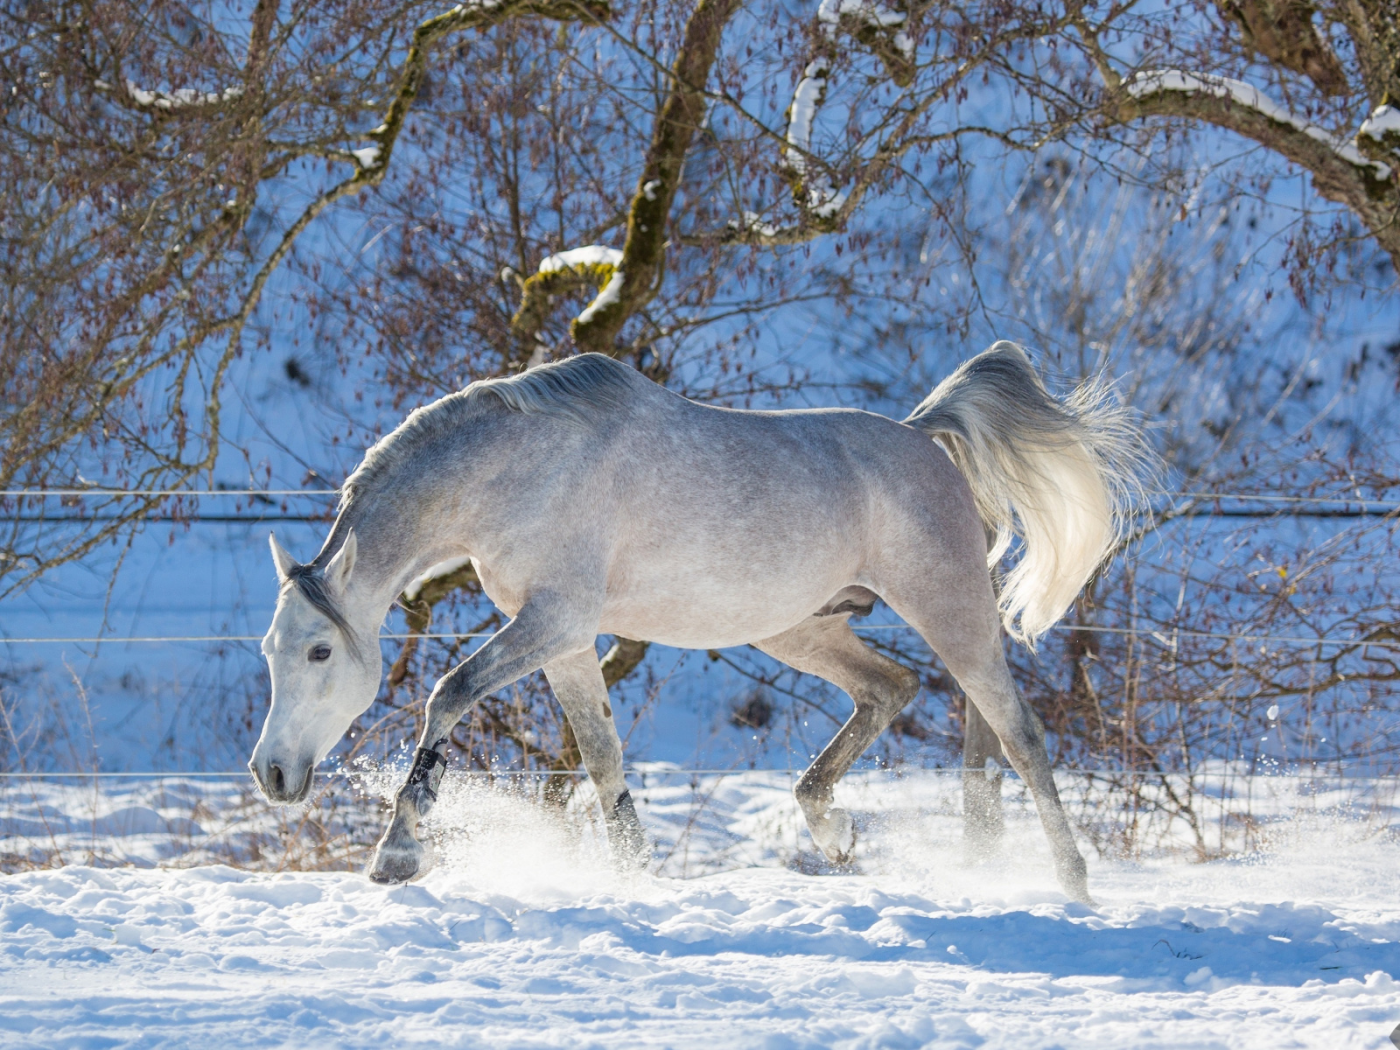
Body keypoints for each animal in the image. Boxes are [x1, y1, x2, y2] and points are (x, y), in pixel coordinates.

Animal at [249, 345, 1148, 907]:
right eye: (270, 651)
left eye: (321, 651)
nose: (272, 774)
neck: (517, 469)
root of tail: (922, 437)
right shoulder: (564, 638)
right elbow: (603, 757)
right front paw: (634, 880)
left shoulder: (553, 620)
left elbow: (449, 692)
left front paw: (396, 855)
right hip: (795, 628)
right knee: (891, 690)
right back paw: (832, 831)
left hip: (951, 610)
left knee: (1017, 733)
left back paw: (1071, 884)